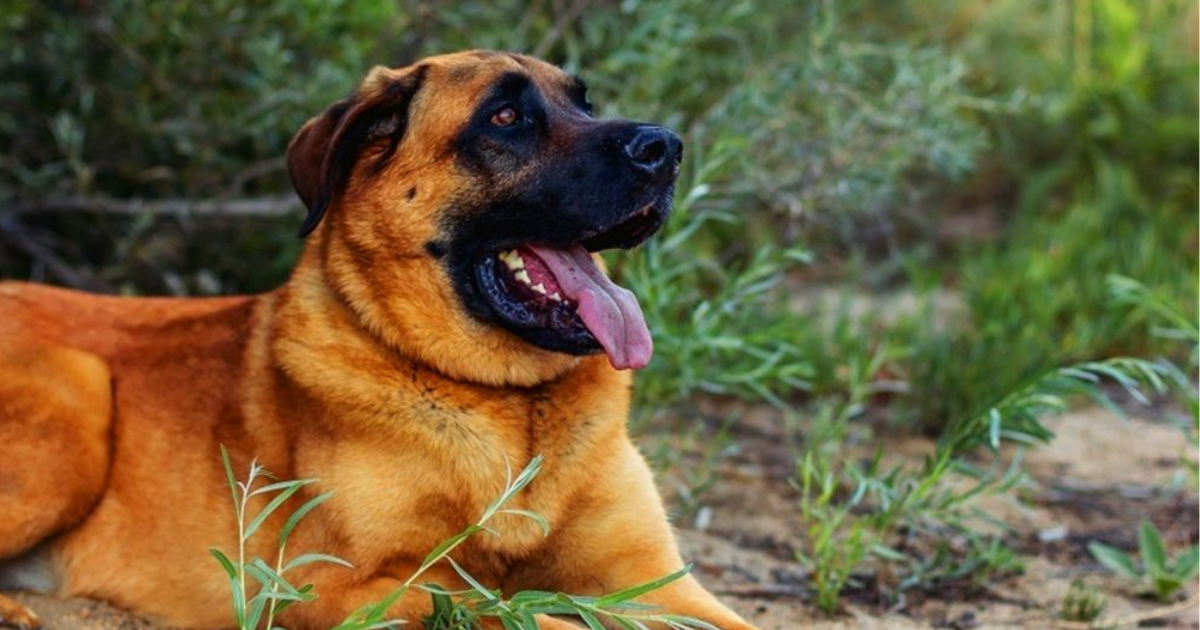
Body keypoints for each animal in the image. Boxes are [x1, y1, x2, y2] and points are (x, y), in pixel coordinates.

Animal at [2, 50, 758, 628]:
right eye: (505, 117)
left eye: (586, 103)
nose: (666, 148)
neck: (510, 406)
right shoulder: (338, 588)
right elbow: (518, 615)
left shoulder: (658, 582)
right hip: (78, 400)